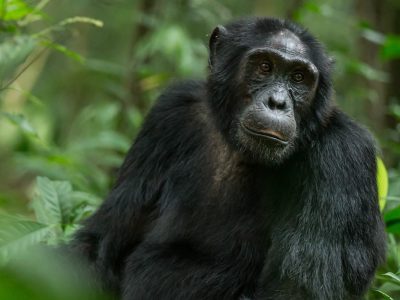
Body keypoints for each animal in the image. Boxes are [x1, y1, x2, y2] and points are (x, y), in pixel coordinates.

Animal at [70, 17, 386, 300]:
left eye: (298, 77)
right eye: (264, 66)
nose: (277, 102)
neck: (237, 147)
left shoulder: (343, 158)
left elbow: (296, 292)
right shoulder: (168, 115)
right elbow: (100, 243)